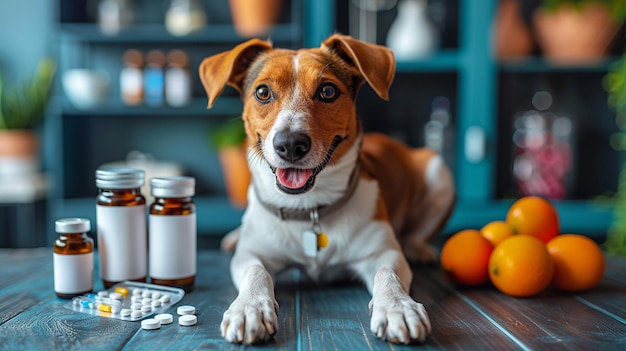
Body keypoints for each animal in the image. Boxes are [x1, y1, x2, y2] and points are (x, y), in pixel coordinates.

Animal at [199, 34, 454, 346]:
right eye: (262, 92)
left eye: (328, 91)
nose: (290, 144)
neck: (309, 208)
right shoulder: (251, 254)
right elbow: (255, 272)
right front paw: (249, 308)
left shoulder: (383, 252)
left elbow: (387, 273)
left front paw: (398, 307)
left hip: (439, 171)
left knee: (416, 234)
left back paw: (419, 248)